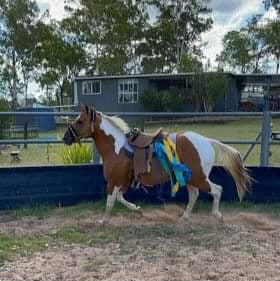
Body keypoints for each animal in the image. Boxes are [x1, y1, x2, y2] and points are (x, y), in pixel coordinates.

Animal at [63, 104, 252, 219]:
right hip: (191, 178)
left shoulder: (114, 181)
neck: (117, 147)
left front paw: (103, 221)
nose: (66, 138)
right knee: (194, 195)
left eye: (80, 121)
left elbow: (110, 201)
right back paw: (185, 216)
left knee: (217, 190)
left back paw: (216, 215)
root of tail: (207, 141)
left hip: (199, 177)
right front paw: (136, 209)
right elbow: (120, 198)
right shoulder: (123, 182)